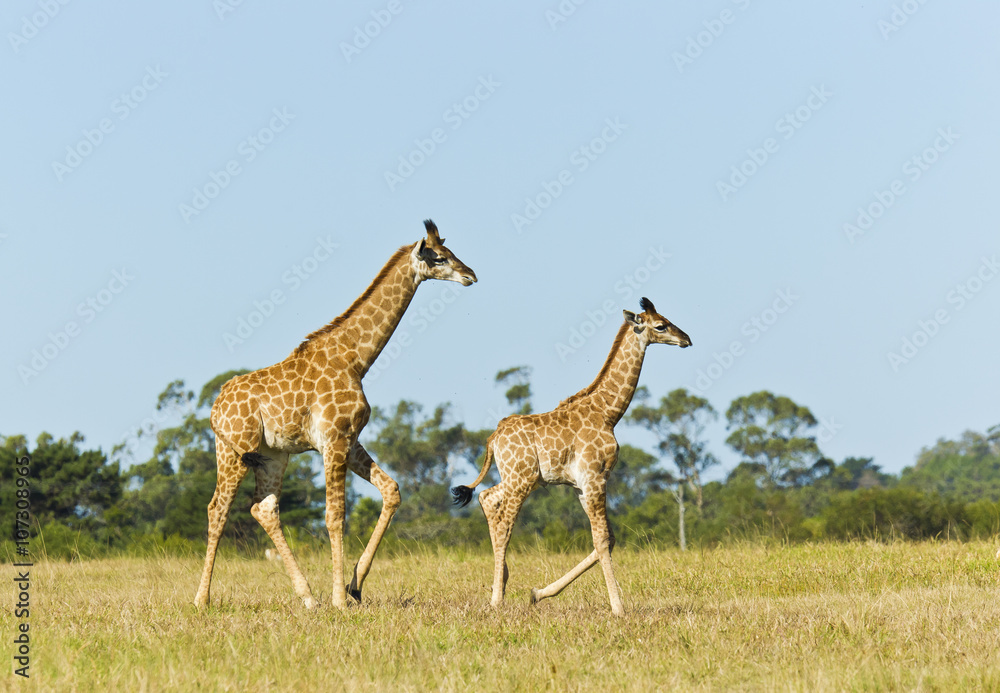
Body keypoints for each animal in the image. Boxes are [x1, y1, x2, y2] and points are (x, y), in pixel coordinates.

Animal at [194, 220, 477, 611]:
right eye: (439, 256)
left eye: (449, 252)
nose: (470, 275)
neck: (356, 359)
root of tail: (214, 408)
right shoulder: (334, 439)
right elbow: (335, 516)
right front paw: (340, 600)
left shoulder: (349, 439)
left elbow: (391, 490)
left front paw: (354, 587)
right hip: (233, 451)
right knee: (217, 509)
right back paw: (202, 599)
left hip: (272, 456)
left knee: (263, 509)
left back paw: (307, 597)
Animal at [452, 297, 690, 616]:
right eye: (661, 325)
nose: (686, 339)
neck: (608, 412)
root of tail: (494, 438)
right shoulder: (595, 477)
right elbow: (602, 540)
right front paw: (618, 608)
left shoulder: (582, 484)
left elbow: (609, 539)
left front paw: (539, 593)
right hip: (521, 480)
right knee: (504, 524)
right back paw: (496, 599)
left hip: (520, 477)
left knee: (486, 497)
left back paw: (501, 583)